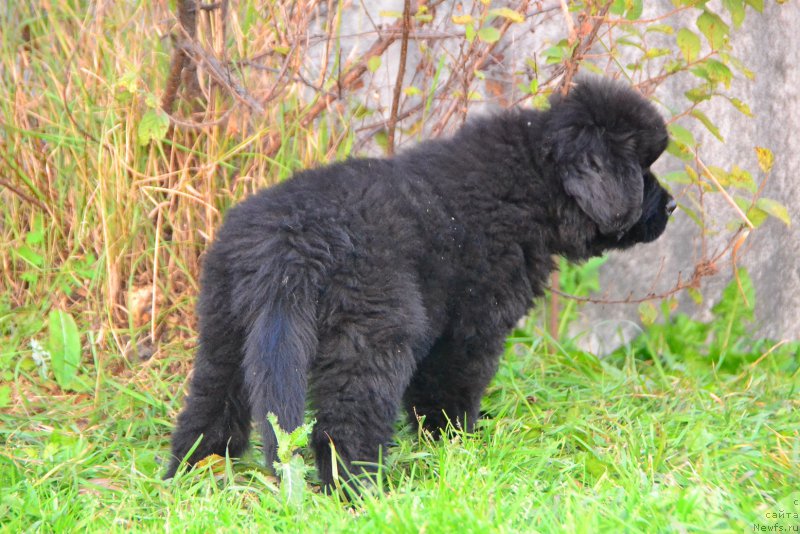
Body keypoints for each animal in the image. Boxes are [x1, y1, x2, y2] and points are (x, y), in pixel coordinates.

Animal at [167, 75, 676, 490]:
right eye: (640, 169)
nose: (671, 206)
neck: (529, 179)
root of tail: (292, 243)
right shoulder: (470, 327)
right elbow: (450, 392)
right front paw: (460, 445)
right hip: (373, 333)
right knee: (344, 426)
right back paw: (357, 493)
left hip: (227, 326)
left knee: (210, 405)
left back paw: (191, 477)